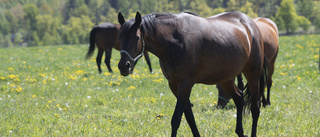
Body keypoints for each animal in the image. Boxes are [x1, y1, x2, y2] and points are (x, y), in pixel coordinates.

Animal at [117, 11, 264, 136]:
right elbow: (189, 118)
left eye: (137, 37)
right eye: (120, 37)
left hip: (253, 75)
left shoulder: (185, 85)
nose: (123, 66)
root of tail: (250, 24)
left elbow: (176, 119)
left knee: (255, 108)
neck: (174, 40)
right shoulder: (174, 85)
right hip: (225, 79)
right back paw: (240, 132)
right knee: (239, 99)